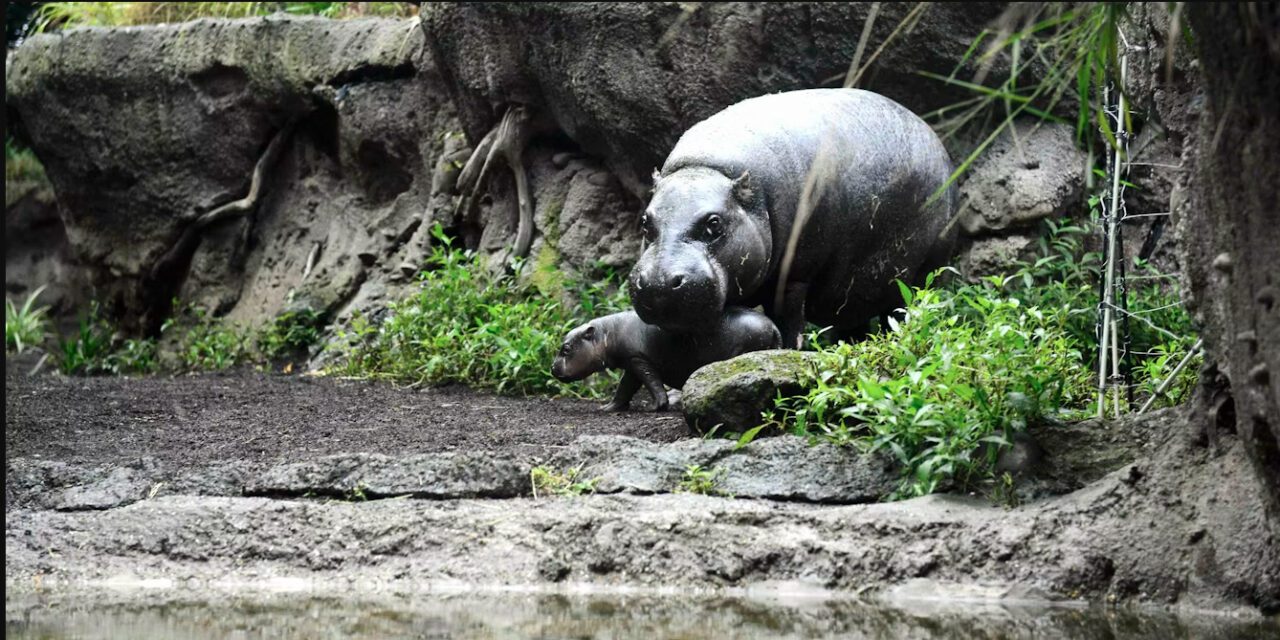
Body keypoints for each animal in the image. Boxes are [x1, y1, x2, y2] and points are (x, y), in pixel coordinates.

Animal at [551, 307, 781, 411]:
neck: (608, 334)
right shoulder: (632, 363)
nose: (552, 367)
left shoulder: (640, 360)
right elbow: (624, 388)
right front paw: (607, 408)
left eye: (566, 348)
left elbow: (653, 383)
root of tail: (773, 326)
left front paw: (655, 407)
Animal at [629, 88, 957, 347]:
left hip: (918, 277)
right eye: (645, 222)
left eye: (714, 223)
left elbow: (788, 321)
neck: (704, 170)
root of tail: (935, 138)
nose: (659, 282)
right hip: (853, 294)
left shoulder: (795, 276)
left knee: (902, 311)